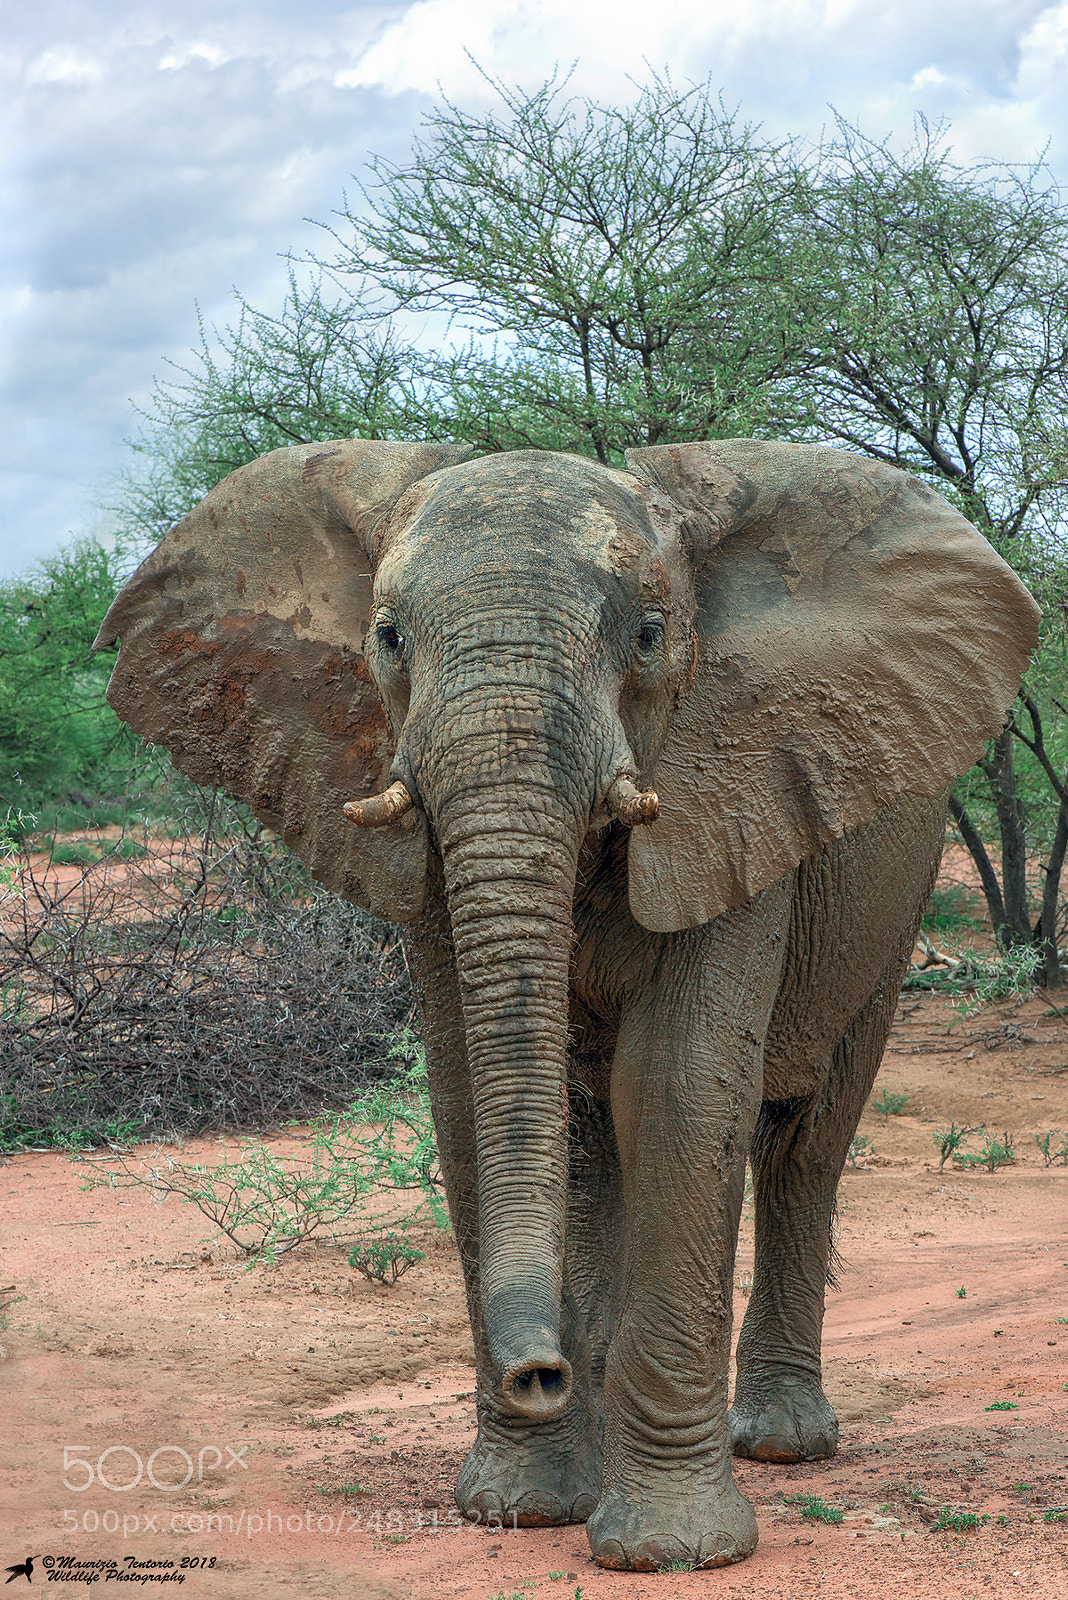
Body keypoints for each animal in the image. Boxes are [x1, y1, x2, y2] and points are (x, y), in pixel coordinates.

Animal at [95, 437, 1038, 1571]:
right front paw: (521, 1508)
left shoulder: (732, 793)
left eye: (647, 635)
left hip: (893, 896)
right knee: (600, 1147)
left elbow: (677, 1090)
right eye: (387, 636)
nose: (532, 1373)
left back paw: (781, 1442)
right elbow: (477, 1100)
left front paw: (670, 1551)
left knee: (806, 1139)